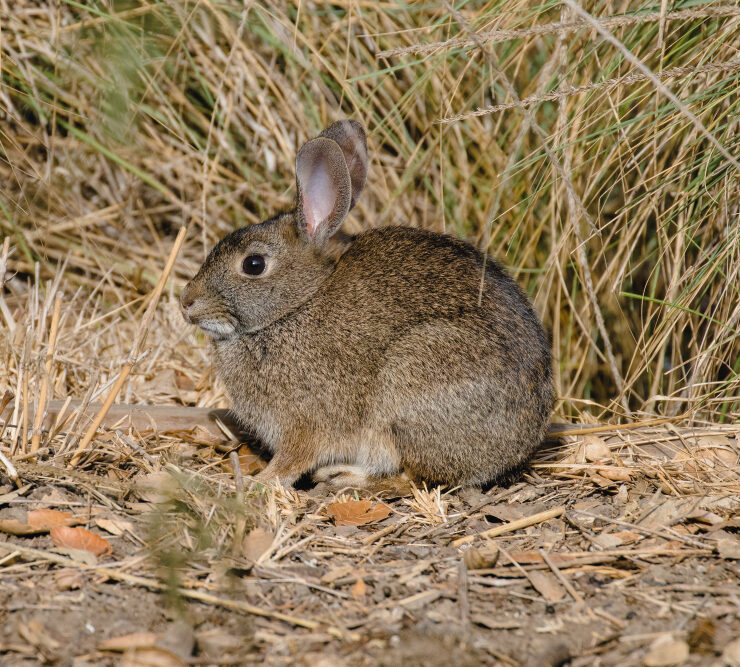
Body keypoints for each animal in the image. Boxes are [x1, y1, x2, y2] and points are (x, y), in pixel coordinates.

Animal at [180, 119, 553, 488]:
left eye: (254, 264)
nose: (186, 302)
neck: (295, 306)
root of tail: (520, 445)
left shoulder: (305, 421)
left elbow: (292, 459)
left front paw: (258, 482)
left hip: (410, 386)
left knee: (412, 477)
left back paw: (343, 475)